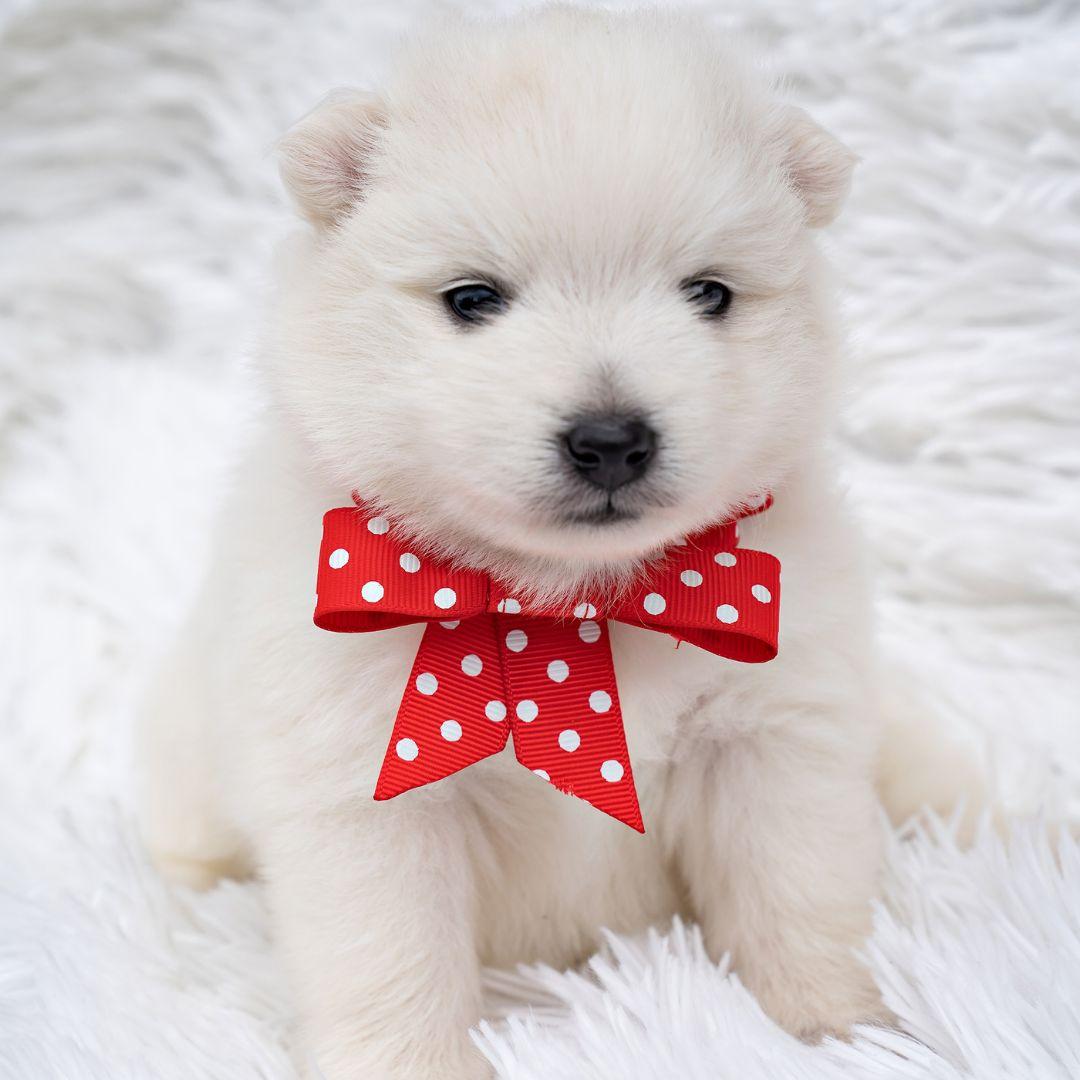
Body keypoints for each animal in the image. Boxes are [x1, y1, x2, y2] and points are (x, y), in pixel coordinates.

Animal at [135, 8, 946, 1080]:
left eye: (710, 293)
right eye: (473, 299)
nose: (611, 439)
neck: (565, 605)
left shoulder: (774, 730)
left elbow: (798, 888)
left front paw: (844, 1029)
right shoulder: (364, 783)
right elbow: (391, 954)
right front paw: (414, 1066)